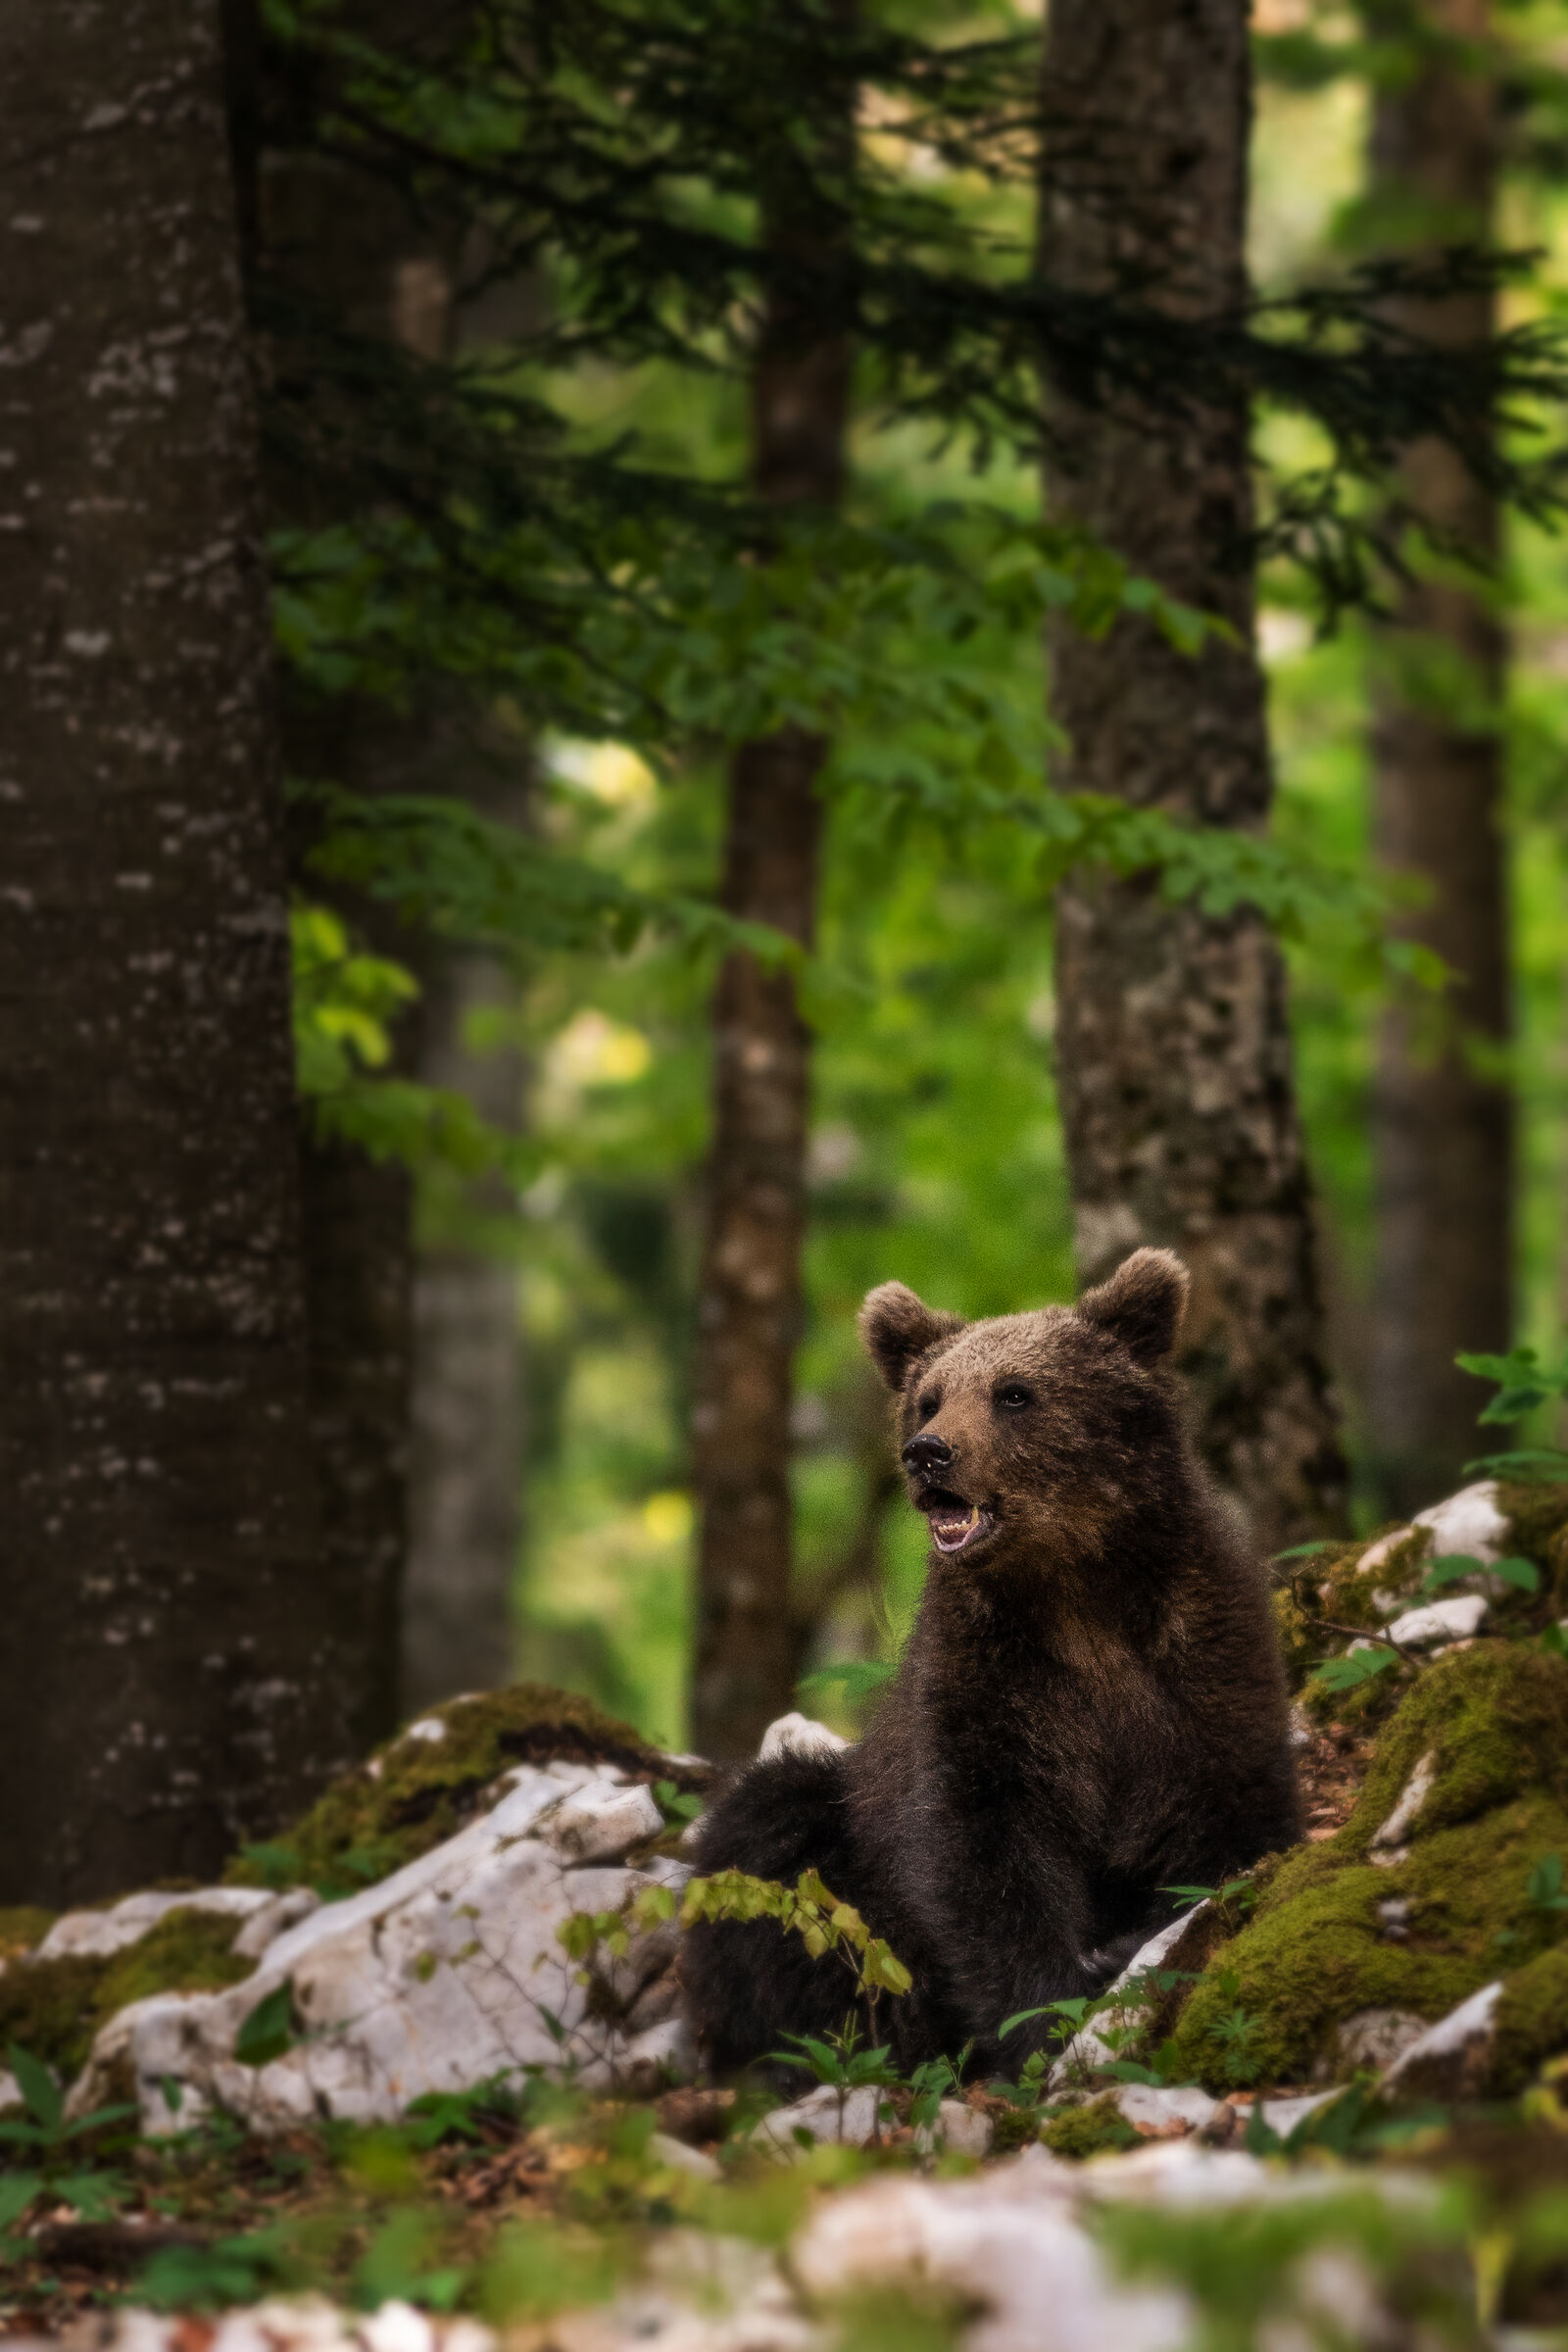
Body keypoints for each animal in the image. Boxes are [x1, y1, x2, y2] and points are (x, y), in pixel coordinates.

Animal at [681, 1247, 1301, 2079]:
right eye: (929, 1399)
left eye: (1014, 1392)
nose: (928, 1453)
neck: (1071, 1591)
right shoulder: (985, 1686)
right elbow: (986, 1854)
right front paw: (1042, 2016)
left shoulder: (1198, 1650)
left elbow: (1230, 1814)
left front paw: (1119, 1950)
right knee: (763, 1835)